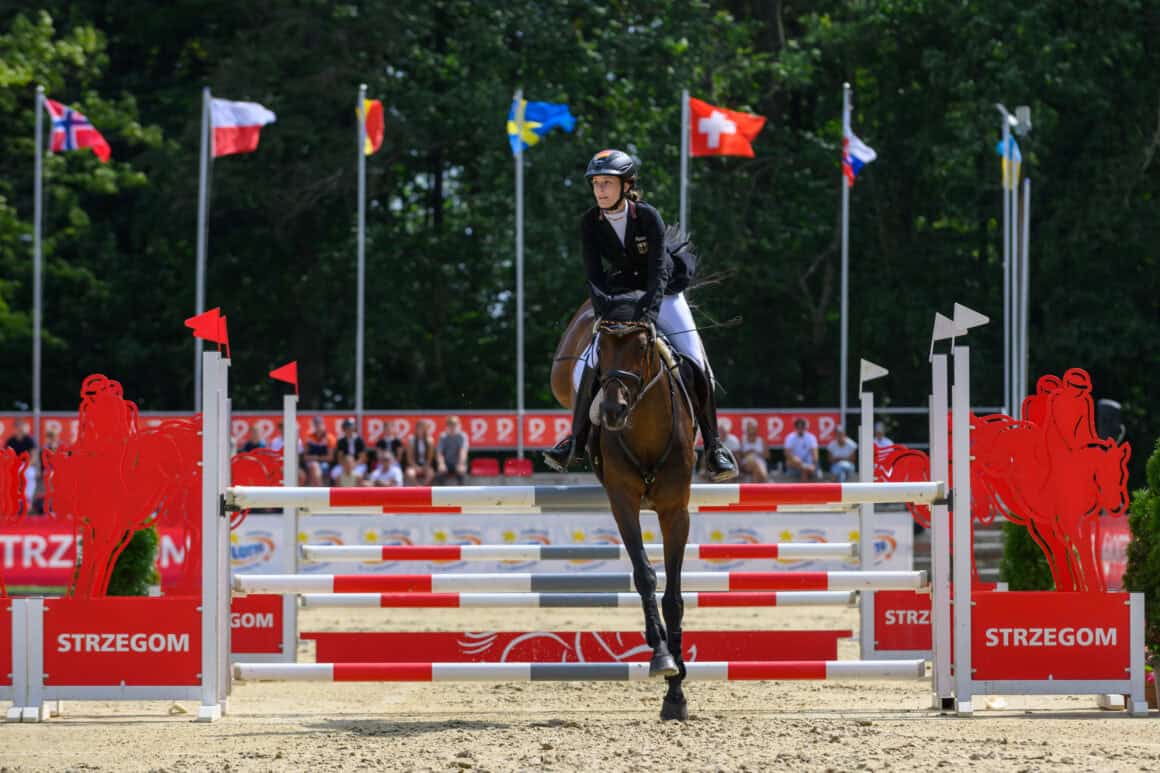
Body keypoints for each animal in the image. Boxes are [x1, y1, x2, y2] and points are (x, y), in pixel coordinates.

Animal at [547, 285, 691, 719]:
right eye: (603, 348)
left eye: (643, 346)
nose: (612, 411)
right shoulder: (623, 502)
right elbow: (645, 575)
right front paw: (661, 656)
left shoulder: (675, 511)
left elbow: (674, 595)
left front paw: (676, 692)